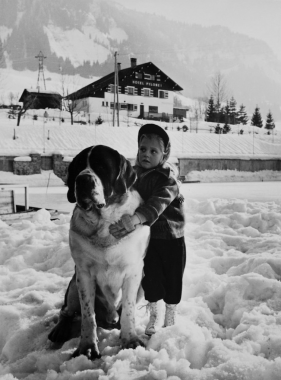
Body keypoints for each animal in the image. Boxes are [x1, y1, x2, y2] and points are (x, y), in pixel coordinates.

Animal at [48, 145, 149, 360]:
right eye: (78, 166)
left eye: (102, 166)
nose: (82, 180)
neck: (103, 223)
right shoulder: (83, 274)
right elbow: (88, 315)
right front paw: (87, 347)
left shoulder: (134, 272)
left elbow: (128, 310)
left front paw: (130, 339)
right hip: (73, 285)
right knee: (66, 311)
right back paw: (60, 329)